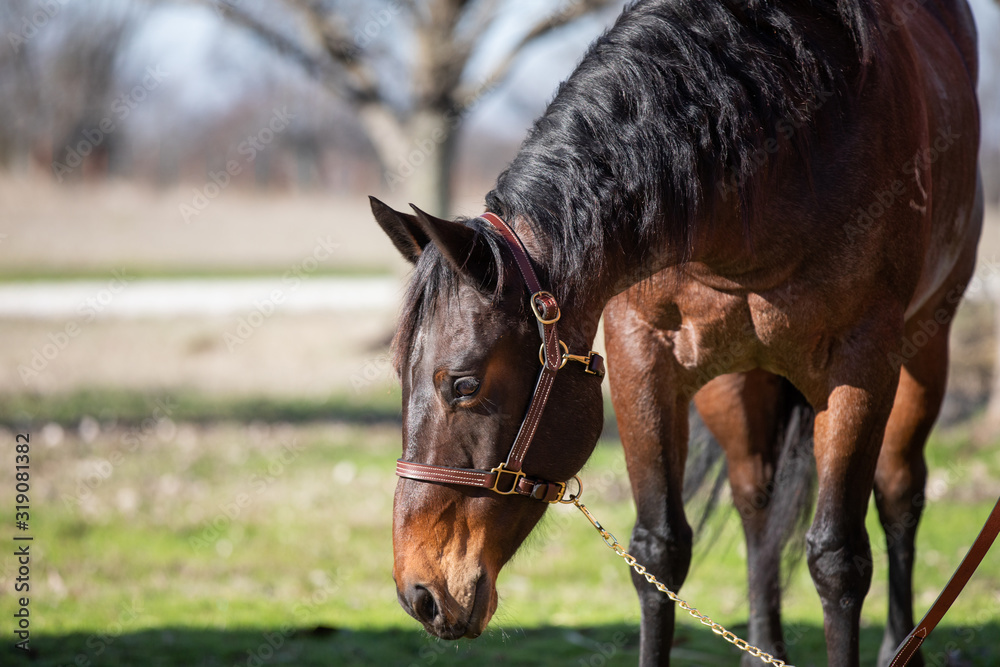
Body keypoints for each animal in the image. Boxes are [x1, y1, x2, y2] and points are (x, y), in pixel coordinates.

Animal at [370, 1, 983, 665]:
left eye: (463, 384)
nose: (420, 592)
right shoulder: (642, 355)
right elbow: (659, 550)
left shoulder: (862, 364)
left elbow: (839, 561)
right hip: (736, 381)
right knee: (756, 504)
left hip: (924, 349)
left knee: (897, 494)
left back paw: (900, 642)